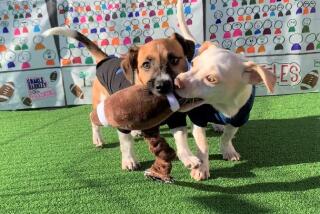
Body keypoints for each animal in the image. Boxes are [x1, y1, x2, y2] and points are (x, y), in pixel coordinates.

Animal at [43, 25, 196, 171]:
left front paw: (187, 157)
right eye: (146, 65)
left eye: (174, 60)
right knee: (93, 119)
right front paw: (129, 161)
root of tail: (105, 59)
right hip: (101, 102)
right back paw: (98, 139)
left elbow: (181, 137)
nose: (162, 86)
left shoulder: (177, 117)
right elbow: (126, 143)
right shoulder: (120, 119)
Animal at [175, 0, 278, 181]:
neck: (223, 106)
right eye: (193, 65)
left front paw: (228, 150)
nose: (177, 81)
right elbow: (203, 145)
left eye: (211, 79)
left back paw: (218, 126)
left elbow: (228, 135)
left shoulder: (240, 118)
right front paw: (201, 168)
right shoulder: (198, 118)